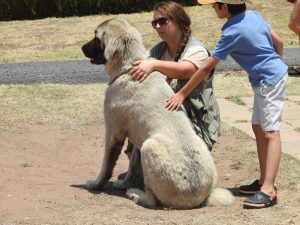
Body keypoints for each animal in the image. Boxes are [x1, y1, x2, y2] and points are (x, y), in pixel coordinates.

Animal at [82, 17, 234, 209]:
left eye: (96, 38)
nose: (82, 47)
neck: (128, 68)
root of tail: (201, 198)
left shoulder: (113, 132)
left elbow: (106, 165)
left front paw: (96, 184)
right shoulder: (136, 138)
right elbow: (132, 166)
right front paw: (125, 182)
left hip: (149, 146)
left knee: (152, 201)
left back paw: (136, 194)